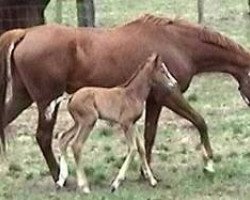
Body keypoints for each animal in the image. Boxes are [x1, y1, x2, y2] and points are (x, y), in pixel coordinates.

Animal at [56, 54, 178, 193]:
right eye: (162, 70)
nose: (174, 83)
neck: (132, 94)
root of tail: (72, 96)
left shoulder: (133, 123)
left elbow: (140, 147)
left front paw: (152, 180)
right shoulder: (126, 124)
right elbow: (133, 148)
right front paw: (116, 183)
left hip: (78, 123)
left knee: (63, 138)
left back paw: (61, 181)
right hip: (88, 121)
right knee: (76, 145)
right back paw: (84, 186)